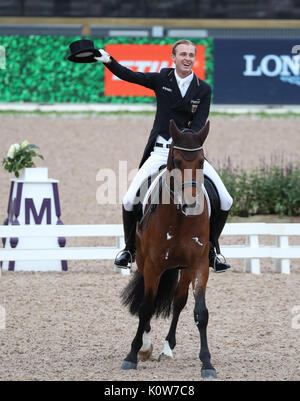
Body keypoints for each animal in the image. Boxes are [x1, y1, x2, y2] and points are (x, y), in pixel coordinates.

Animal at [120, 119, 217, 378]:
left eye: (201, 161)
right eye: (177, 161)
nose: (191, 204)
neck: (180, 218)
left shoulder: (199, 265)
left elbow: (200, 312)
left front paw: (207, 363)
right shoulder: (153, 266)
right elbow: (146, 307)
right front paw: (133, 354)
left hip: (184, 269)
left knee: (179, 301)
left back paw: (167, 348)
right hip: (144, 262)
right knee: (147, 301)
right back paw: (145, 346)